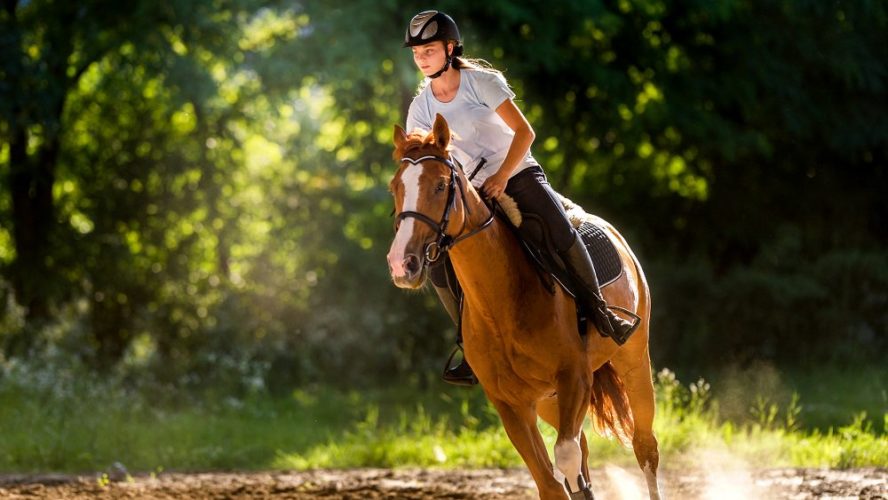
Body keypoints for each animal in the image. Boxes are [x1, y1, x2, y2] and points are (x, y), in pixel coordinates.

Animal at [386, 113, 664, 500]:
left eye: (440, 186)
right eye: (395, 188)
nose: (402, 263)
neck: (500, 305)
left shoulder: (575, 378)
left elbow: (565, 458)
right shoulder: (510, 405)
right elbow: (550, 481)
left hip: (633, 361)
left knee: (643, 446)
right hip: (548, 400)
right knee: (583, 451)